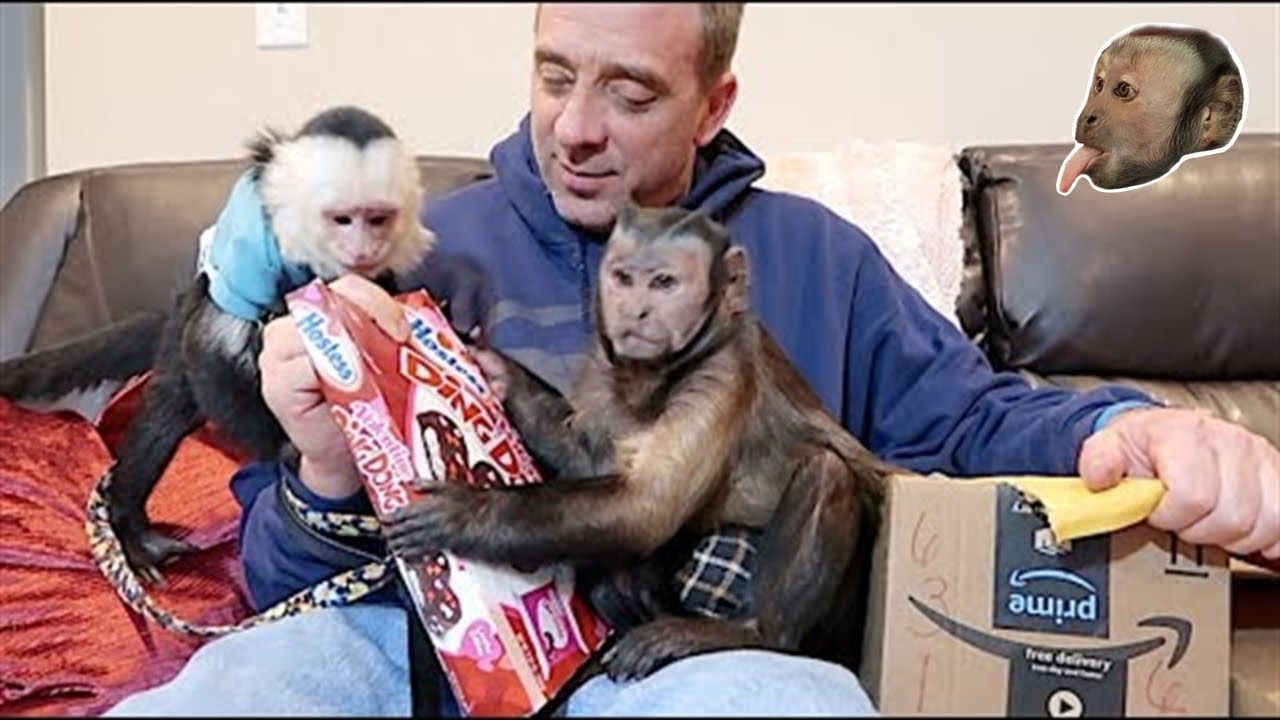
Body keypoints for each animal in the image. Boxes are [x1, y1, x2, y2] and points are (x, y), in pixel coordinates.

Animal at [0, 105, 439, 585]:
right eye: (342, 219)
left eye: (377, 219)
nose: (363, 248)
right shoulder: (256, 253)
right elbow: (212, 352)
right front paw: (284, 448)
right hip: (187, 319)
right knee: (173, 403)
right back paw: (130, 525)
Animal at [381, 200, 893, 682]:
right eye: (624, 278)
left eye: (664, 283)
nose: (636, 310)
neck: (653, 377)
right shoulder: (604, 364)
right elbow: (587, 457)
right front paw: (494, 371)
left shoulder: (721, 374)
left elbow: (646, 507)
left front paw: (466, 511)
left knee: (828, 470)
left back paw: (752, 631)